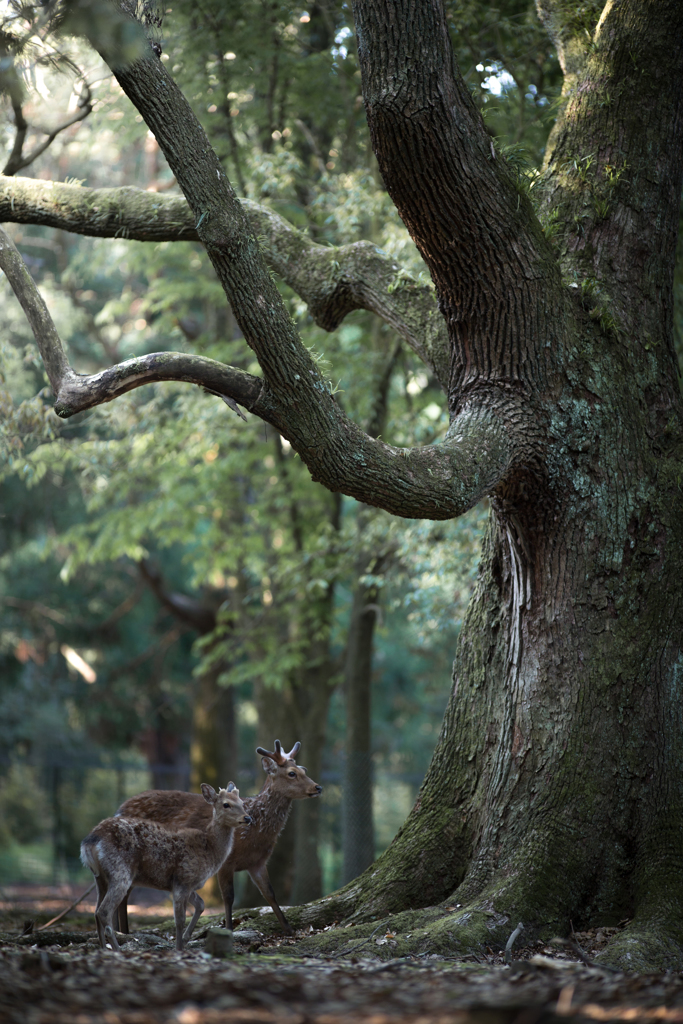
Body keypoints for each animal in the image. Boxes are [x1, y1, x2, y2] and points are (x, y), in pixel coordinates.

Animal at [80, 782, 250, 950]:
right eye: (226, 804)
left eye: (242, 803)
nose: (247, 817)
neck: (210, 850)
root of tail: (89, 842)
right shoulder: (183, 877)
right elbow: (179, 919)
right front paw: (179, 948)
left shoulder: (185, 884)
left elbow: (201, 904)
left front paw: (186, 939)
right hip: (120, 871)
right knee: (104, 911)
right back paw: (117, 949)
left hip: (100, 877)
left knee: (96, 912)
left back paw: (104, 948)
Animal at [116, 741, 321, 937]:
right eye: (292, 773)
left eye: (304, 769)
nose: (318, 787)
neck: (254, 836)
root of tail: (119, 809)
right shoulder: (226, 862)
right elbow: (229, 897)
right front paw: (229, 929)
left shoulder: (258, 862)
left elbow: (270, 893)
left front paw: (289, 929)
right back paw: (123, 932)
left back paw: (122, 931)